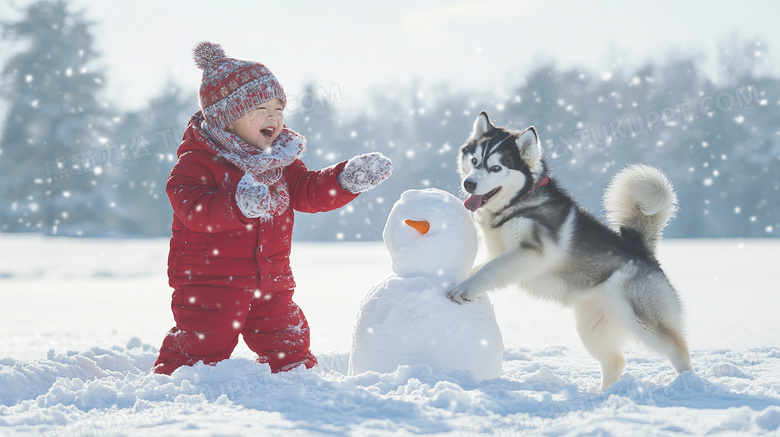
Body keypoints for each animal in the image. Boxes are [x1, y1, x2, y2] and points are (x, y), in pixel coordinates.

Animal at [448, 110, 692, 390]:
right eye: (474, 160)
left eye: (496, 167)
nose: (469, 184)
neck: (518, 201)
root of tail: (641, 248)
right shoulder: (504, 253)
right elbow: (483, 266)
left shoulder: (533, 252)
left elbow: (490, 269)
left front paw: (463, 289)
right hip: (591, 326)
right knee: (616, 361)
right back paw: (603, 394)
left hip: (641, 315)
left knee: (677, 348)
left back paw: (690, 385)